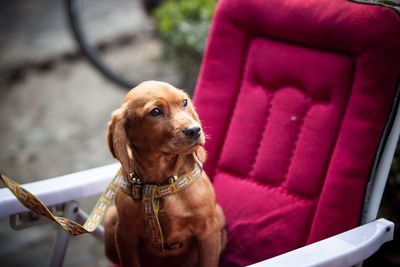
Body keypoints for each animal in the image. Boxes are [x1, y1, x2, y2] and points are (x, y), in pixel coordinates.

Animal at [104, 80, 225, 266]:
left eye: (184, 102)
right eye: (155, 112)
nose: (195, 130)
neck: (160, 185)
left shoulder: (208, 231)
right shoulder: (125, 235)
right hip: (111, 219)